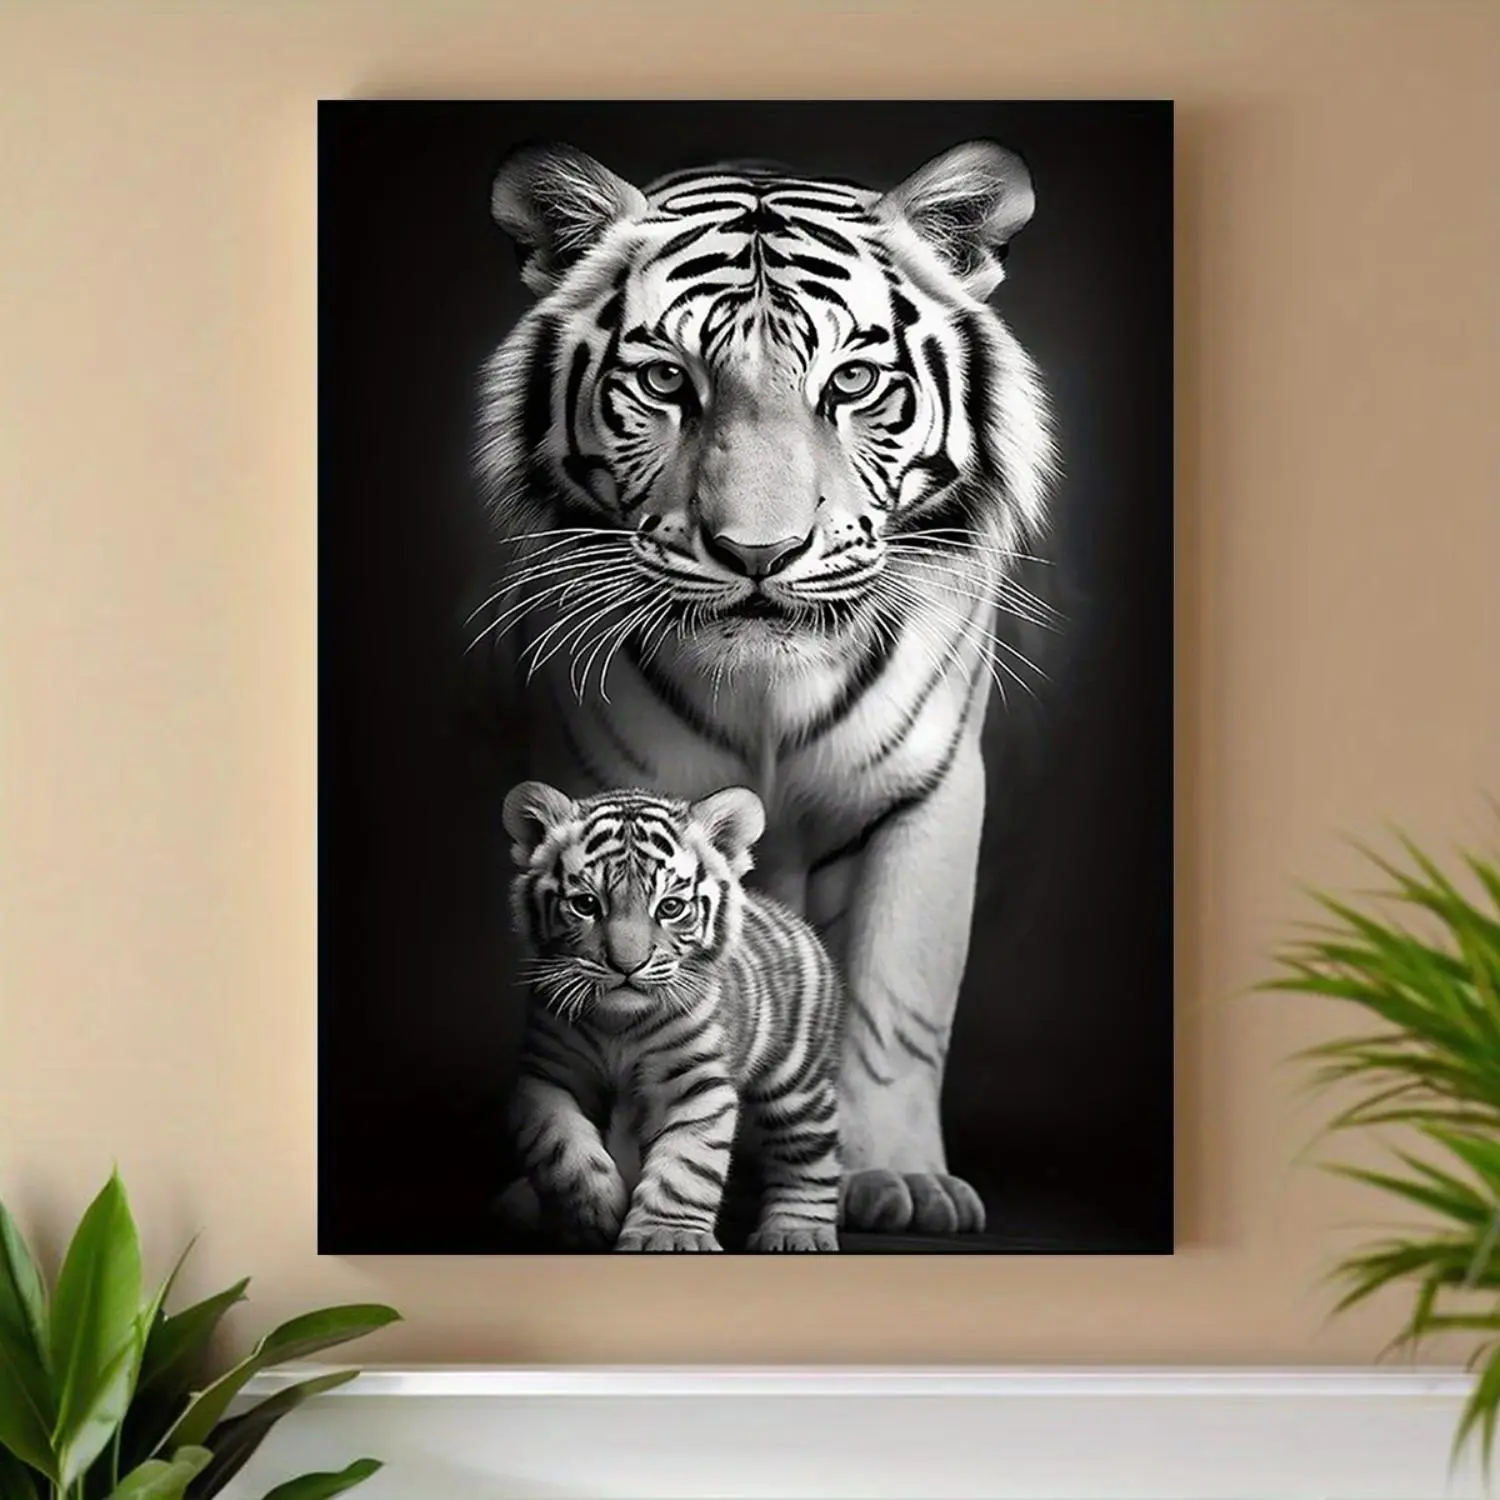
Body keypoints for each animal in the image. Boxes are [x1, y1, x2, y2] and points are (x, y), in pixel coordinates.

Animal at [497, 779, 843, 1252]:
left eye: (670, 908)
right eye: (586, 905)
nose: (627, 965)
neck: (618, 1025)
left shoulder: (696, 1084)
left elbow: (687, 1166)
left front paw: (667, 1235)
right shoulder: (545, 1075)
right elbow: (559, 1144)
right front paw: (595, 1211)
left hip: (796, 1080)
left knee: (809, 1154)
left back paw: (796, 1231)